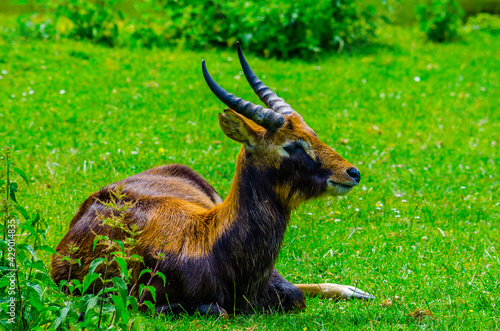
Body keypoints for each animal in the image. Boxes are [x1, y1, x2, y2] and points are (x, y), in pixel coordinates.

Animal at [52, 43, 374, 316]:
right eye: (293, 145)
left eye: (312, 133)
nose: (352, 172)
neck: (211, 242)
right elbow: (220, 310)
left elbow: (296, 295)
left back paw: (357, 291)